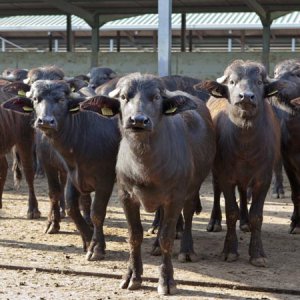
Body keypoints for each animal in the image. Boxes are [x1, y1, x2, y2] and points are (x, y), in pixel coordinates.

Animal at [79, 73, 216, 296]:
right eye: (124, 96)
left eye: (156, 97)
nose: (138, 120)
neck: (145, 166)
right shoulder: (126, 196)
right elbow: (134, 236)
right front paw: (132, 276)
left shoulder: (175, 197)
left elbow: (168, 237)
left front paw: (167, 280)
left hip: (192, 188)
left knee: (187, 216)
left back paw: (186, 250)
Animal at [196, 59, 282, 266]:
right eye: (233, 82)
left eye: (258, 82)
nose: (246, 97)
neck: (245, 144)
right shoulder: (226, 176)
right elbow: (231, 211)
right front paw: (230, 250)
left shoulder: (263, 178)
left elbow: (257, 216)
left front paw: (257, 254)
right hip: (217, 171)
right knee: (217, 192)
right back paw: (214, 222)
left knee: (243, 193)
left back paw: (244, 222)